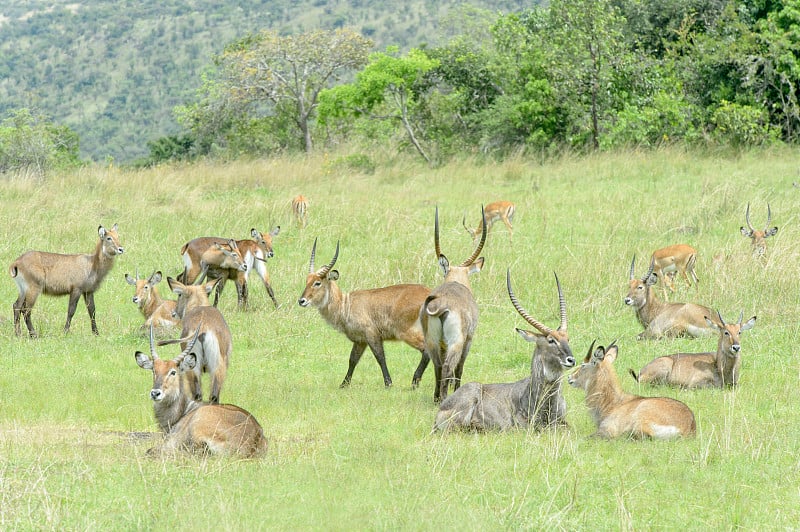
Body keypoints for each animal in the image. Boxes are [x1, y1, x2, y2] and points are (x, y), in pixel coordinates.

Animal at [134, 324, 266, 458]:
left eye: (173, 372)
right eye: (154, 370)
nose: (155, 393)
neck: (184, 410)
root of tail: (253, 440)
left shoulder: (172, 441)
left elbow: (151, 450)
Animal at [296, 239, 432, 388]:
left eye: (317, 282)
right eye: (307, 281)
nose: (301, 301)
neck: (345, 305)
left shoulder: (371, 334)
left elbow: (380, 357)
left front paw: (388, 383)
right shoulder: (360, 340)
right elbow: (352, 360)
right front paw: (344, 385)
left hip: (405, 332)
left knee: (427, 350)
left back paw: (415, 382)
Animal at [422, 206, 484, 402]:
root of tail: (442, 306)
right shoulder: (468, 340)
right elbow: (460, 367)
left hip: (432, 342)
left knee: (438, 366)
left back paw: (437, 397)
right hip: (456, 341)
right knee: (449, 365)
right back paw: (444, 398)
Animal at [434, 270, 580, 432]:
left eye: (568, 339)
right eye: (551, 340)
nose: (571, 360)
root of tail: (441, 408)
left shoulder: (562, 422)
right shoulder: (522, 425)